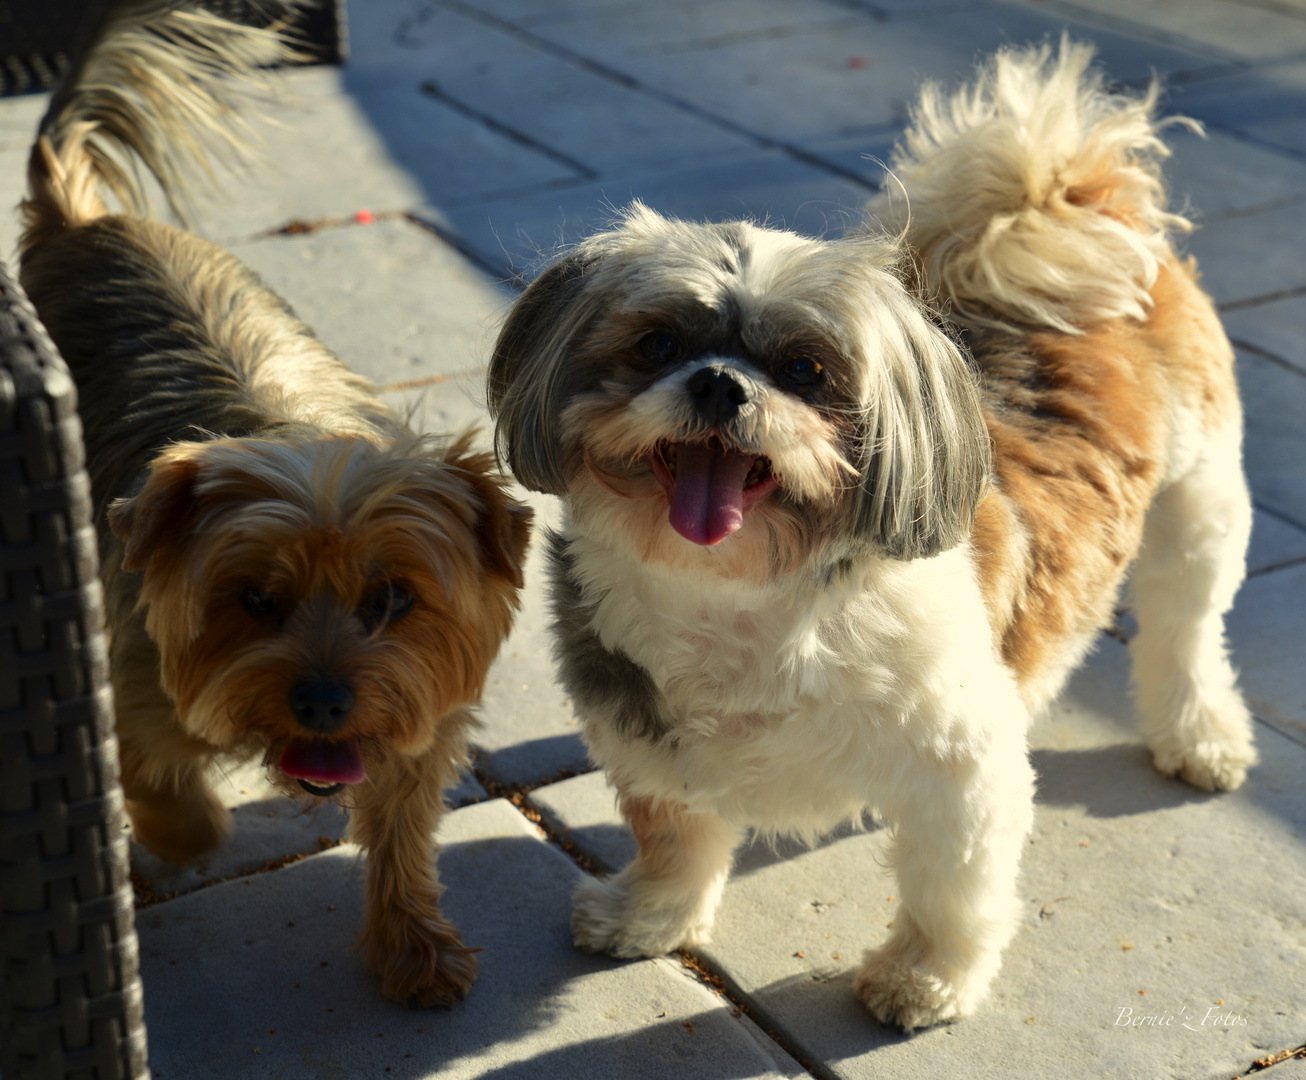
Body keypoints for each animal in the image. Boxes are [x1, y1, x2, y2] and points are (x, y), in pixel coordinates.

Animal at [488, 42, 1253, 1029]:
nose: (721, 384)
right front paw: (650, 916)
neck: (744, 600)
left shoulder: (958, 763)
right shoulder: (648, 734)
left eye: (806, 369)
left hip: (1202, 499)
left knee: (1184, 628)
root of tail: (1067, 201)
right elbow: (676, 838)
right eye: (657, 345)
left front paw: (922, 979)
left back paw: (1199, 734)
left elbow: (950, 885)